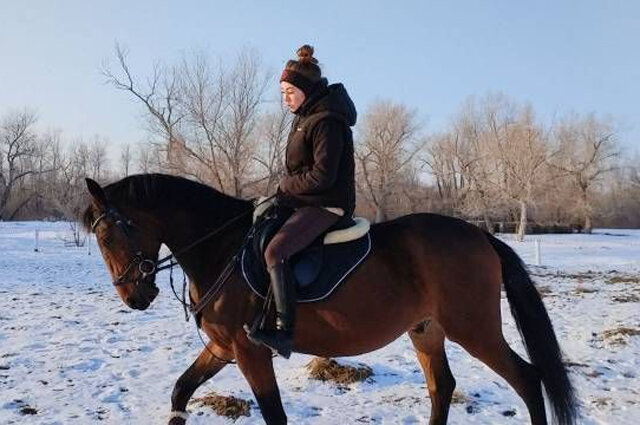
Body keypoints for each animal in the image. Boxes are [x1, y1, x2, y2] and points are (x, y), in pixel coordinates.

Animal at [82, 173, 576, 424]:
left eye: (107, 235)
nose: (135, 297)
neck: (221, 247)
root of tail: (481, 236)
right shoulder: (222, 347)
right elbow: (181, 391)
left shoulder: (248, 351)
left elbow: (275, 416)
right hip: (426, 331)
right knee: (443, 387)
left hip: (473, 329)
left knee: (527, 380)